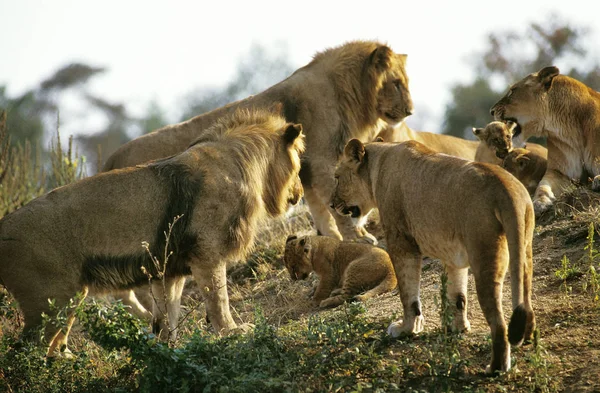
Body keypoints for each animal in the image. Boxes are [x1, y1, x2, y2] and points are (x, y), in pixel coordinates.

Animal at [0, 108, 304, 356]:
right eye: (300, 164)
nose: (300, 192)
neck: (240, 163)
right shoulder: (207, 253)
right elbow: (218, 298)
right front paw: (233, 331)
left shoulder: (169, 268)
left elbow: (167, 314)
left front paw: (167, 350)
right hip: (51, 301)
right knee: (26, 353)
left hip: (68, 298)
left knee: (53, 345)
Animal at [103, 39, 412, 242]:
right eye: (397, 83)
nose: (410, 110)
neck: (348, 93)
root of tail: (110, 158)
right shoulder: (323, 162)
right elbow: (338, 208)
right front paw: (359, 238)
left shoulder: (307, 169)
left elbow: (320, 211)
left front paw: (332, 241)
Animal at [330, 139, 536, 374]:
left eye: (337, 177)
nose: (331, 204)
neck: (377, 165)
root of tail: (508, 189)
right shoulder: (454, 257)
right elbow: (458, 296)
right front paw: (457, 328)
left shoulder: (401, 243)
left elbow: (408, 294)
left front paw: (407, 329)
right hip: (524, 251)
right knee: (525, 296)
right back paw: (527, 336)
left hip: (485, 257)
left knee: (499, 322)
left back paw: (496, 368)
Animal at [492, 66, 600, 214]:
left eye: (513, 91)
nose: (491, 111)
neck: (569, 131)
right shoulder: (560, 172)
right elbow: (543, 185)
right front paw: (539, 201)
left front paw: (598, 180)